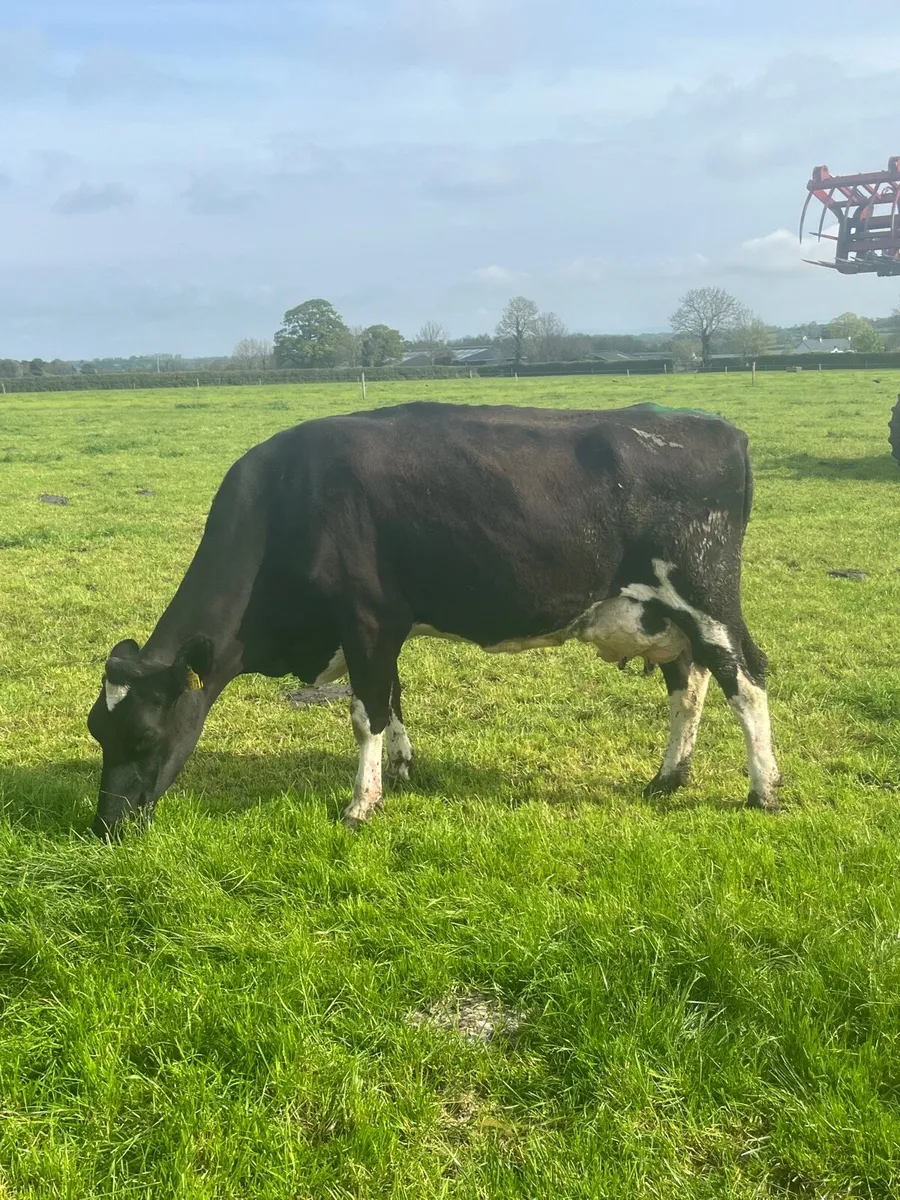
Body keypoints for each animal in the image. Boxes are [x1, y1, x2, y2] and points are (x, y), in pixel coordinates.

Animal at [87, 400, 781, 840]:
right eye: (97, 731)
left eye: (144, 736)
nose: (106, 826)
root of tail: (720, 430)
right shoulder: (382, 628)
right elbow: (391, 699)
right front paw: (399, 771)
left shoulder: (364, 620)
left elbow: (364, 710)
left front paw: (360, 804)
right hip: (665, 617)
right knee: (690, 688)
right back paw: (667, 779)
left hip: (708, 597)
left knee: (746, 682)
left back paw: (764, 789)